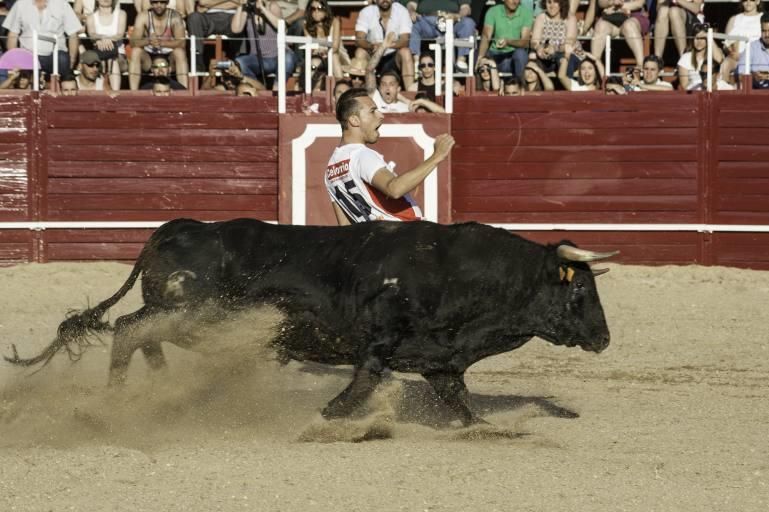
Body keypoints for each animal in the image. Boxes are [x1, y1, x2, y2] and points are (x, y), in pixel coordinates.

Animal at [6, 218, 616, 426]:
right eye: (581, 288)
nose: (604, 338)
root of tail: (171, 231)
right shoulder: (378, 349)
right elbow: (355, 391)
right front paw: (321, 423)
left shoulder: (440, 361)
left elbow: (464, 410)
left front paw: (497, 429)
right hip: (197, 319)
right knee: (129, 330)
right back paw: (112, 403)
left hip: (185, 319)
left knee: (135, 332)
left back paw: (148, 391)